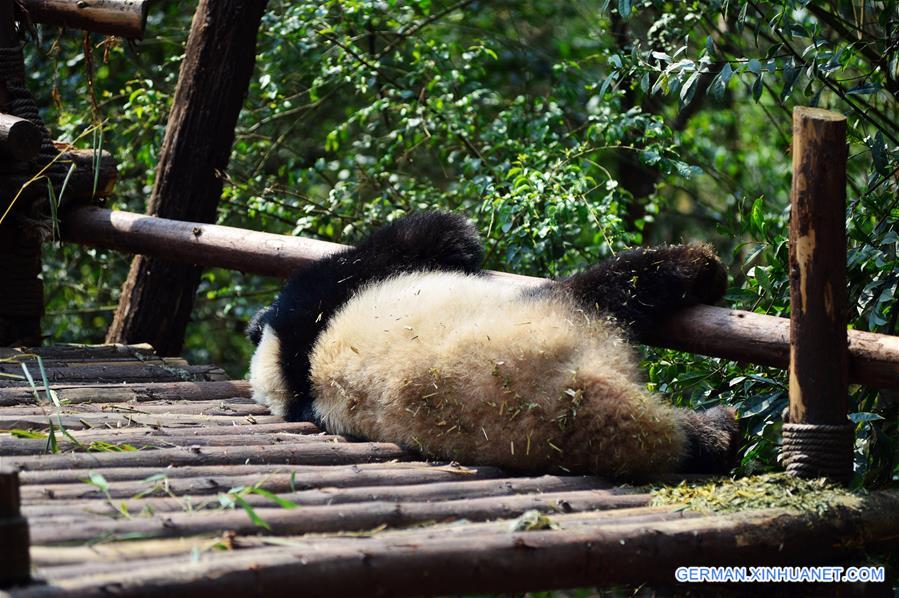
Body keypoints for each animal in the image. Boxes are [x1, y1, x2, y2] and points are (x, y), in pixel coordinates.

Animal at [246, 213, 740, 480]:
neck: (292, 372)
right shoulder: (322, 294)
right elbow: (433, 237)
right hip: (563, 316)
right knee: (625, 282)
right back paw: (702, 270)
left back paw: (710, 435)